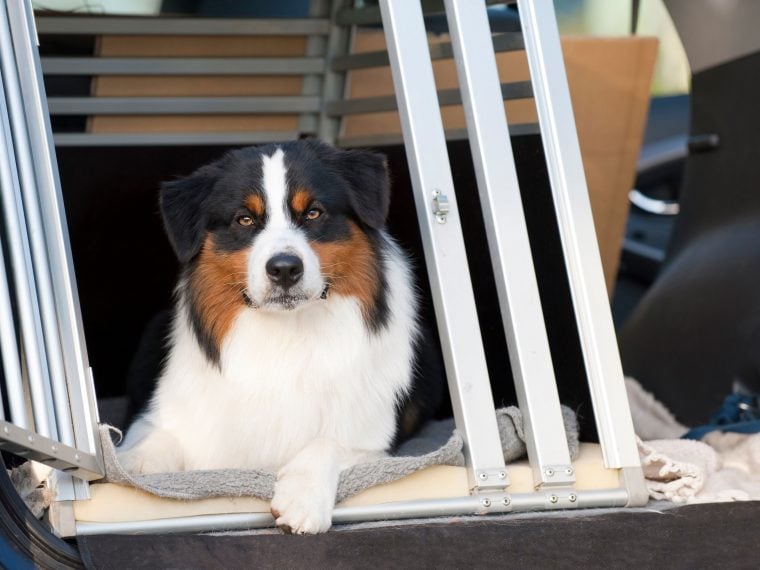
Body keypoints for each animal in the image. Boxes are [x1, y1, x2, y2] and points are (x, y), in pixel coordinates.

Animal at [119, 139, 446, 532]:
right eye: (244, 219)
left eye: (314, 213)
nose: (285, 269)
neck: (287, 332)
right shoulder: (170, 416)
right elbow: (149, 444)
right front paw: (129, 468)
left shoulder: (372, 434)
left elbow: (329, 443)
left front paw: (303, 500)